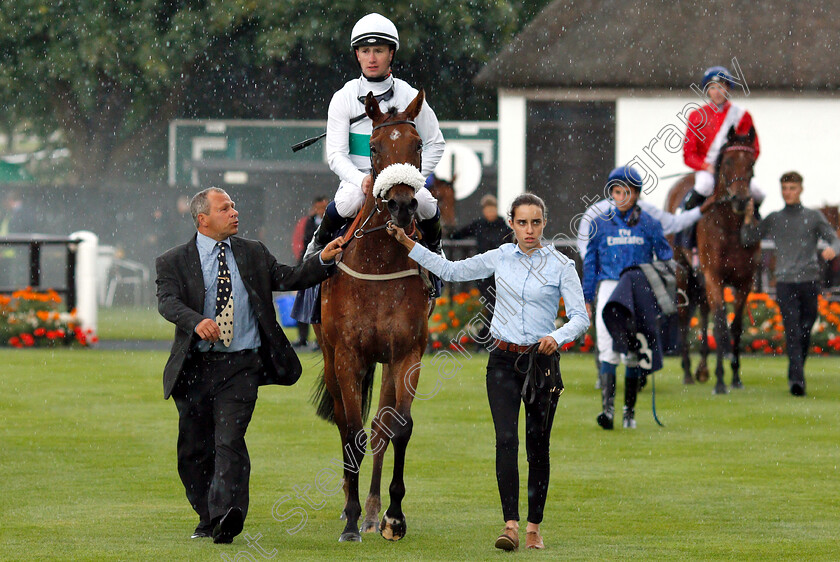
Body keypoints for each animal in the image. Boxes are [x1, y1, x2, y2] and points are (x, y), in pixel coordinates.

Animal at [316, 89, 434, 540]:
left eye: (417, 145)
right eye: (375, 147)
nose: (402, 204)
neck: (380, 265)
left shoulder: (406, 354)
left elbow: (398, 427)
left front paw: (392, 516)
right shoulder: (348, 355)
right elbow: (352, 432)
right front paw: (349, 519)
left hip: (383, 364)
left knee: (381, 429)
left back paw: (370, 511)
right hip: (332, 357)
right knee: (345, 423)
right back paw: (353, 509)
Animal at [668, 126, 760, 394]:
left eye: (751, 163)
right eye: (727, 162)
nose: (741, 200)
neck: (730, 225)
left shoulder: (744, 281)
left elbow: (736, 327)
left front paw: (735, 377)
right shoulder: (714, 277)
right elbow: (719, 325)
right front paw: (720, 381)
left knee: (703, 311)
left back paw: (702, 369)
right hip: (683, 271)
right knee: (684, 317)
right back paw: (689, 372)